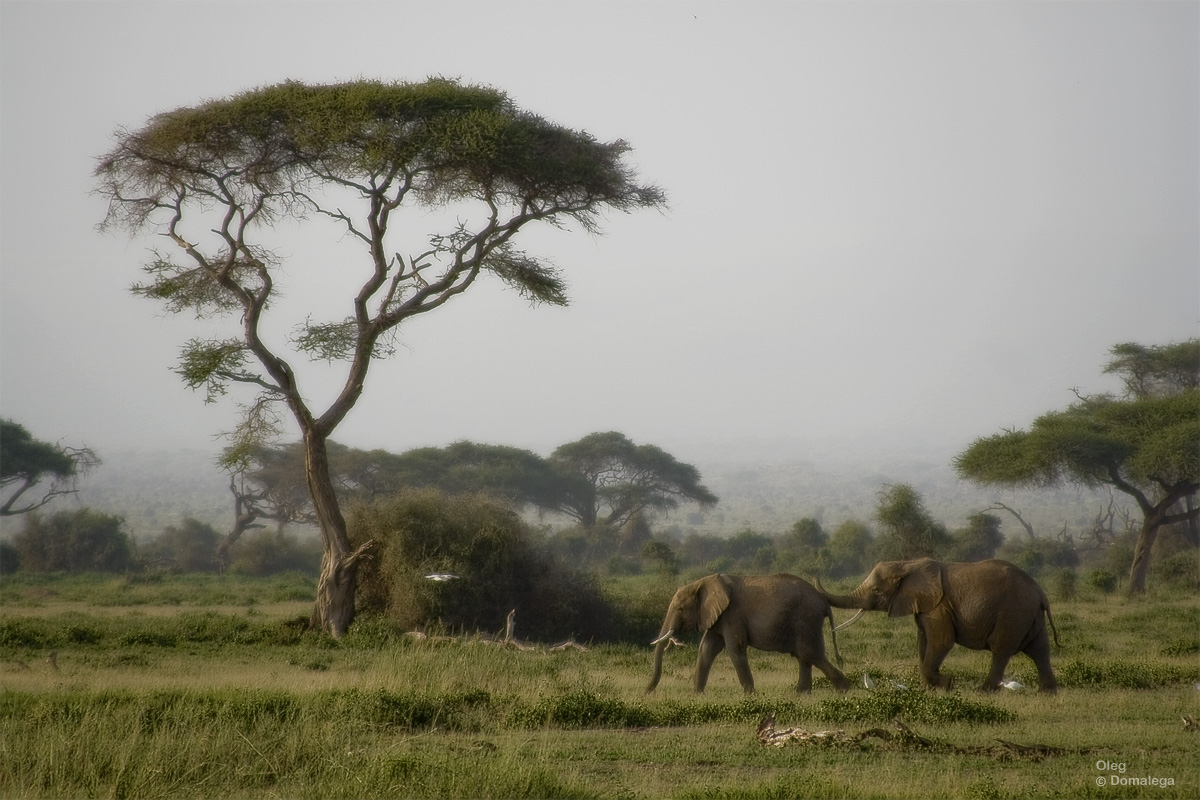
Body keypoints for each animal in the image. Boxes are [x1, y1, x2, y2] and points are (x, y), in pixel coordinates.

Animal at [648, 568, 854, 695]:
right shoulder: (719, 616)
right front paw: (697, 695)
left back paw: (844, 689)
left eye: (680, 609)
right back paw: (802, 694)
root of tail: (823, 602)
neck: (704, 582)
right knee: (804, 655)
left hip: (806, 618)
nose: (648, 691)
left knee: (810, 653)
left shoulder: (733, 613)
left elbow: (735, 648)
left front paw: (750, 696)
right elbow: (706, 649)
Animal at [816, 556, 1060, 695]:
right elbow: (923, 642)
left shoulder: (939, 606)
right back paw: (1047, 692)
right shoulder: (926, 606)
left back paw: (983, 691)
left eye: (876, 590)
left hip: (1013, 613)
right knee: (1040, 650)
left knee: (1001, 650)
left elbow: (941, 642)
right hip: (1029, 615)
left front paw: (948, 683)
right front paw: (929, 689)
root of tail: (1040, 593)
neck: (908, 564)